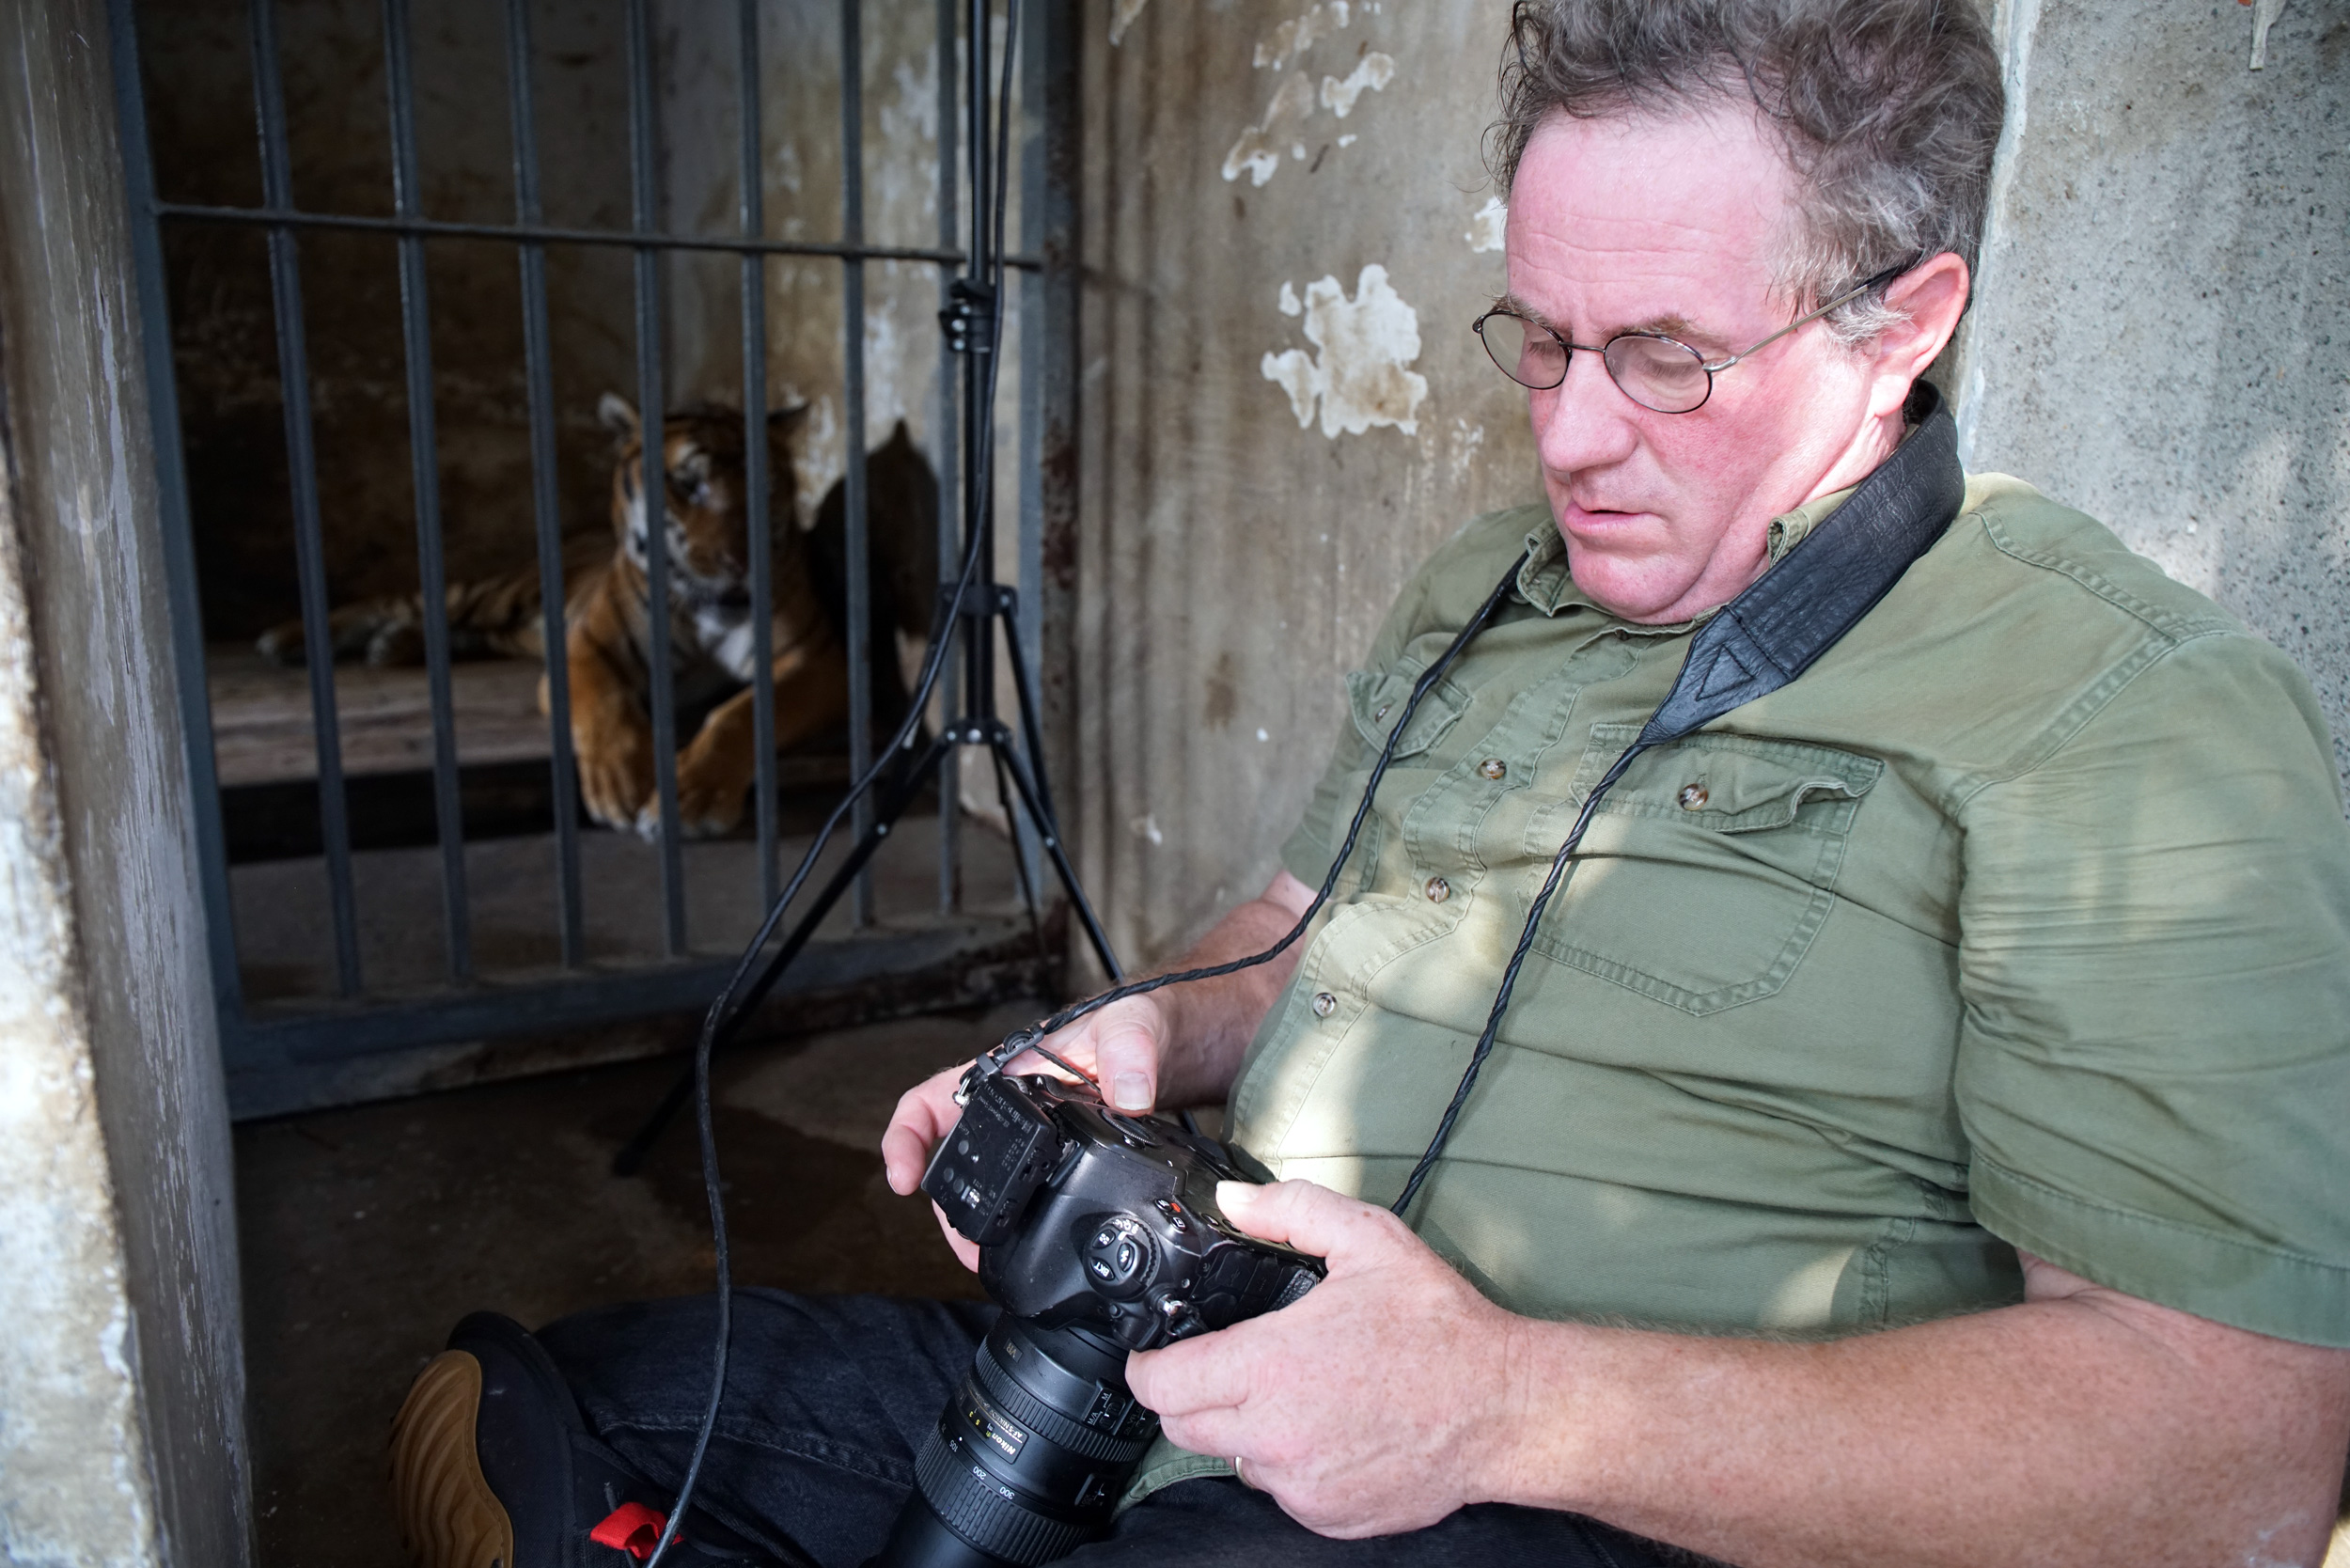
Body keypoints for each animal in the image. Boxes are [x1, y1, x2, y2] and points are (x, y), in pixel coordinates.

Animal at [261, 400, 940, 841]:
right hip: (494, 593)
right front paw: (620, 786)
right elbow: (607, 706)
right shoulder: (586, 645)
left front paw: (691, 798)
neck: (704, 605)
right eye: (688, 485)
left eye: (766, 489)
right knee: (403, 600)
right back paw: (292, 639)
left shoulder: (815, 660)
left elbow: (735, 715)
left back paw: (391, 646)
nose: (741, 562)